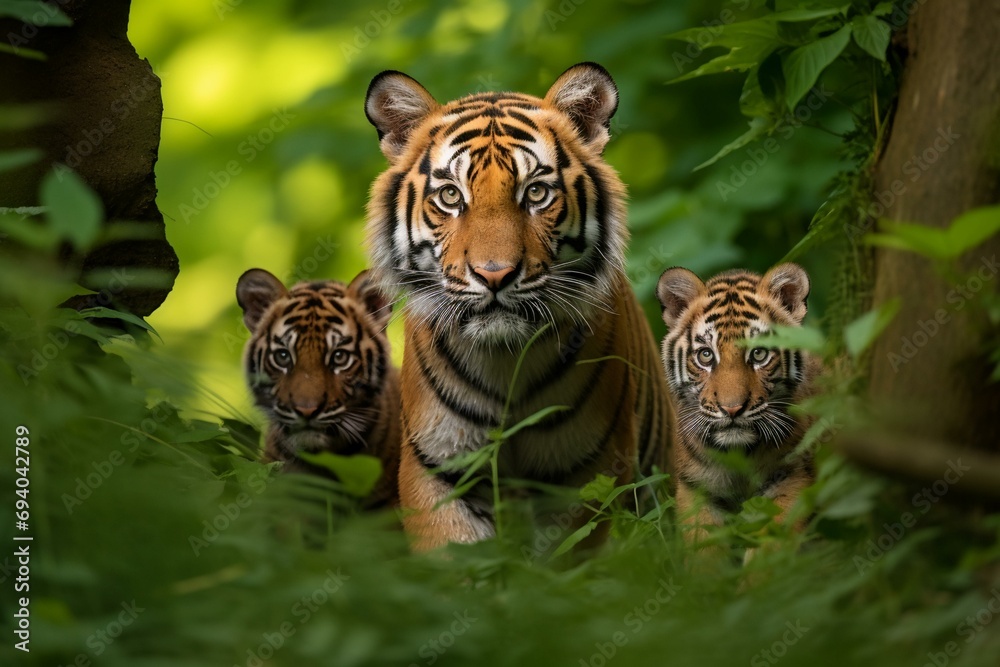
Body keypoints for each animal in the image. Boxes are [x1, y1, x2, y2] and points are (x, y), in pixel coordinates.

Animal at [363, 62, 673, 551]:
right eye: (451, 196)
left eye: (537, 193)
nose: (494, 275)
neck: (505, 363)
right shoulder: (439, 469)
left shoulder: (589, 472)